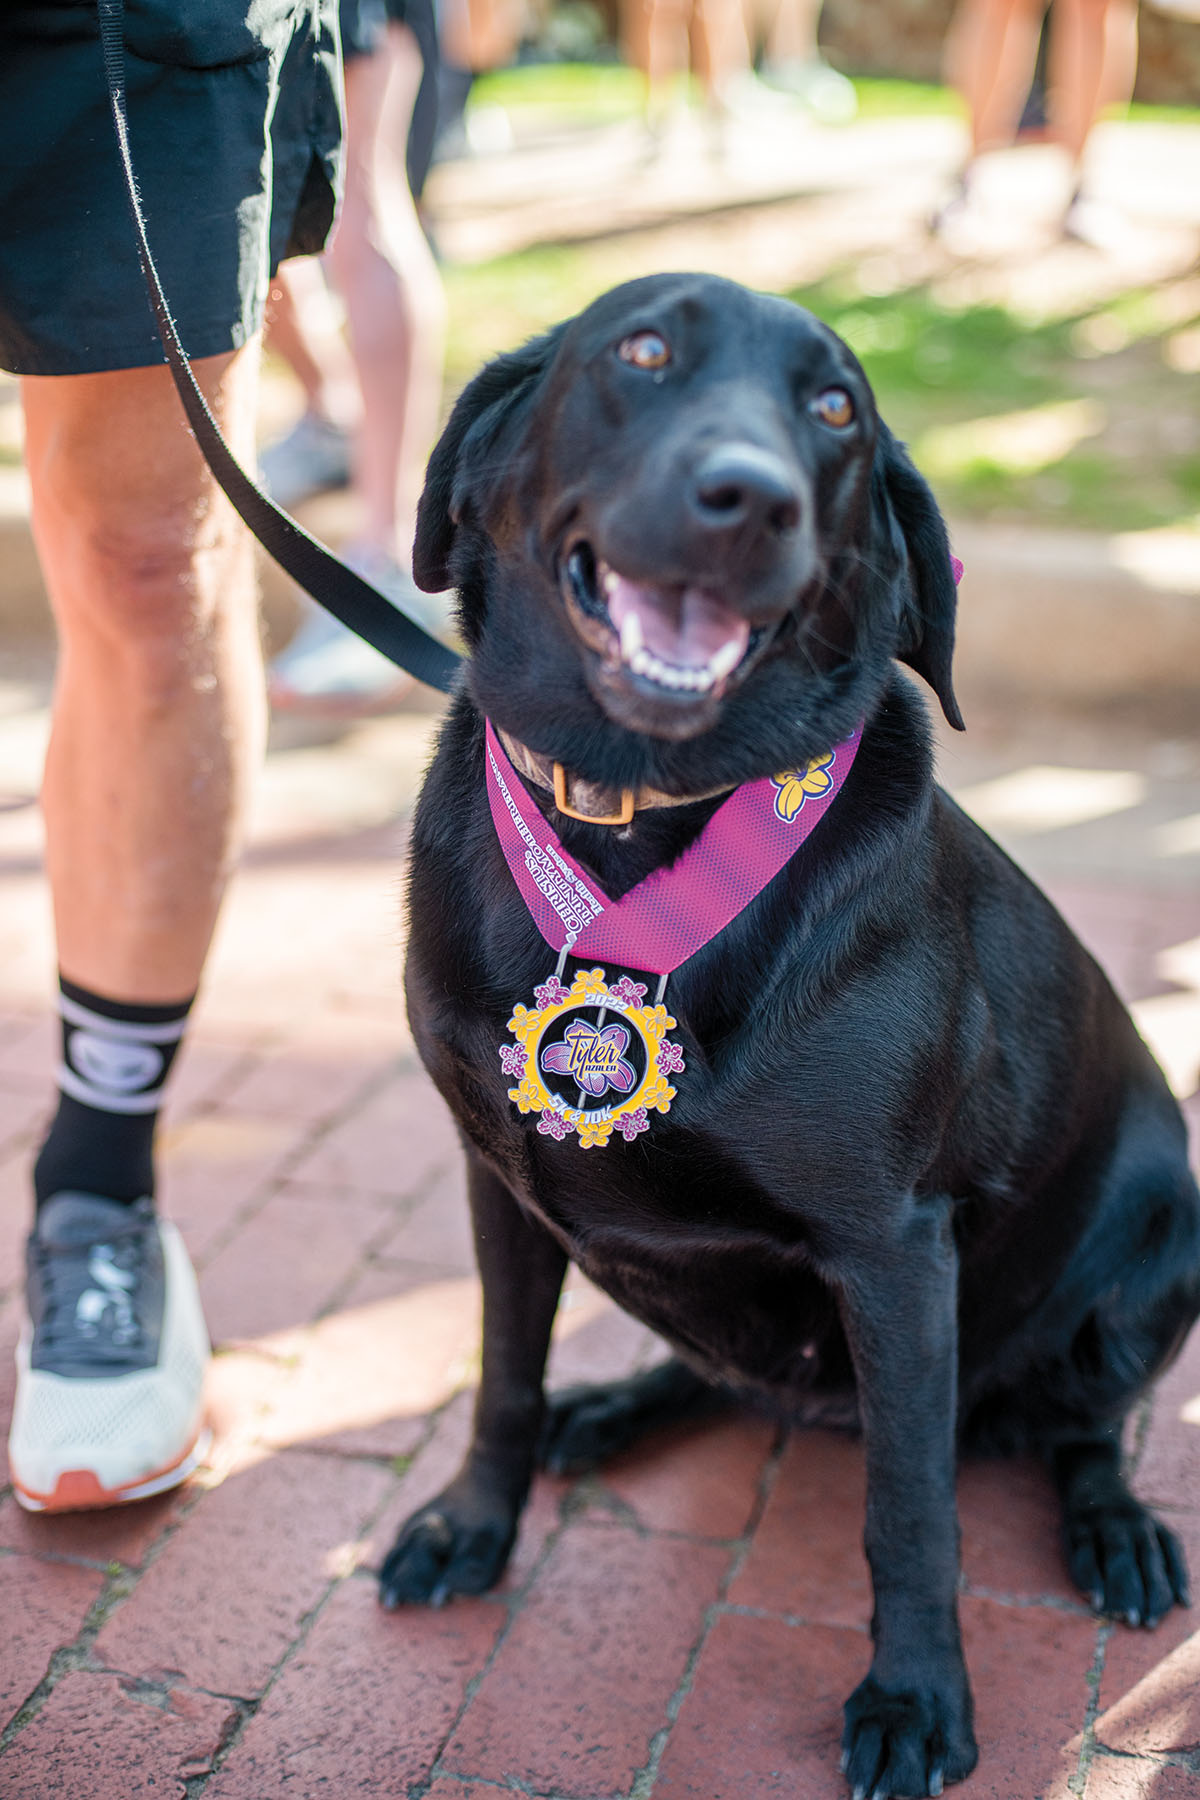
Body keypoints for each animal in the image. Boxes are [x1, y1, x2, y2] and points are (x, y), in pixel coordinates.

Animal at [379, 270, 1200, 1800]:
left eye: (835, 410)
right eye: (643, 350)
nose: (747, 500)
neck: (636, 822)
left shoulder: (893, 1253)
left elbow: (910, 1511)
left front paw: (918, 1699)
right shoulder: (495, 1179)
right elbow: (503, 1376)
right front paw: (473, 1522)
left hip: (1160, 1249)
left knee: (1080, 1432)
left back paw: (1115, 1530)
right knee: (727, 1375)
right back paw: (613, 1408)